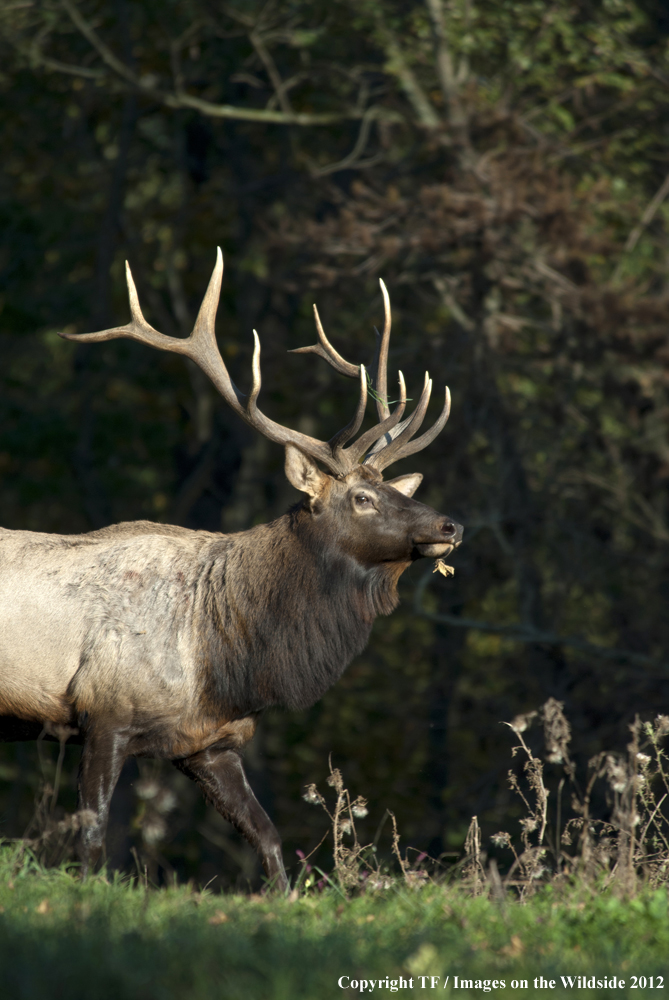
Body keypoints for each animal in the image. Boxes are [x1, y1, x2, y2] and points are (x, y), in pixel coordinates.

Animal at [0, 252, 460, 892]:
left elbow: (267, 836)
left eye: (397, 489)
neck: (224, 659)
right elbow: (90, 840)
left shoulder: (207, 741)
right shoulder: (103, 713)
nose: (449, 525)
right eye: (364, 498)